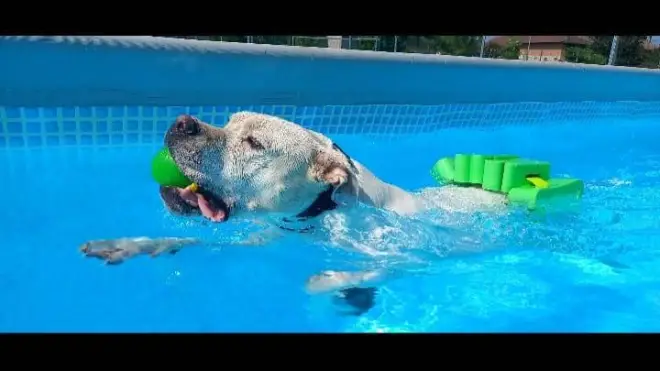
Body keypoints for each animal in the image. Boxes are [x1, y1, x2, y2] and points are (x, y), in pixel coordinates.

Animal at [81, 112, 506, 316]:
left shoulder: (407, 254)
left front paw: (328, 281)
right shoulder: (270, 232)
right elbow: (191, 239)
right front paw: (131, 245)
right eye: (229, 121)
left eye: (254, 143)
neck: (324, 210)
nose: (182, 122)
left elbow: (337, 278)